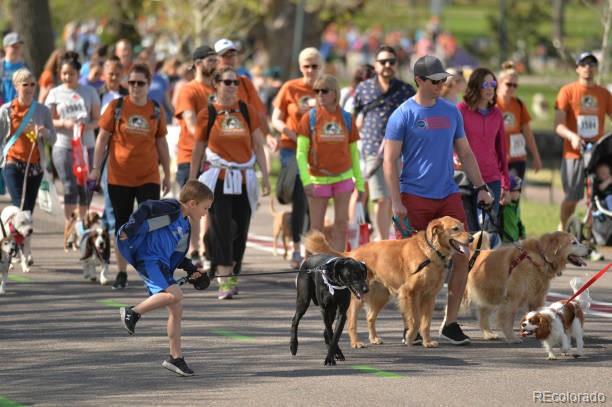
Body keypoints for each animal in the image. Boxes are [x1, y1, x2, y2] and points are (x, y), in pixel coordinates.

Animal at [306, 218, 474, 350]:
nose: (472, 238)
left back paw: (374, 338)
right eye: (455, 229)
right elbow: (415, 320)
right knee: (352, 323)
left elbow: (425, 323)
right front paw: (410, 337)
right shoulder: (408, 293)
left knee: (370, 317)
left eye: (463, 226)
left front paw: (427, 342)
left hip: (381, 296)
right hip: (357, 298)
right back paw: (356, 343)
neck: (431, 251)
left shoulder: (429, 297)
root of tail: (350, 254)